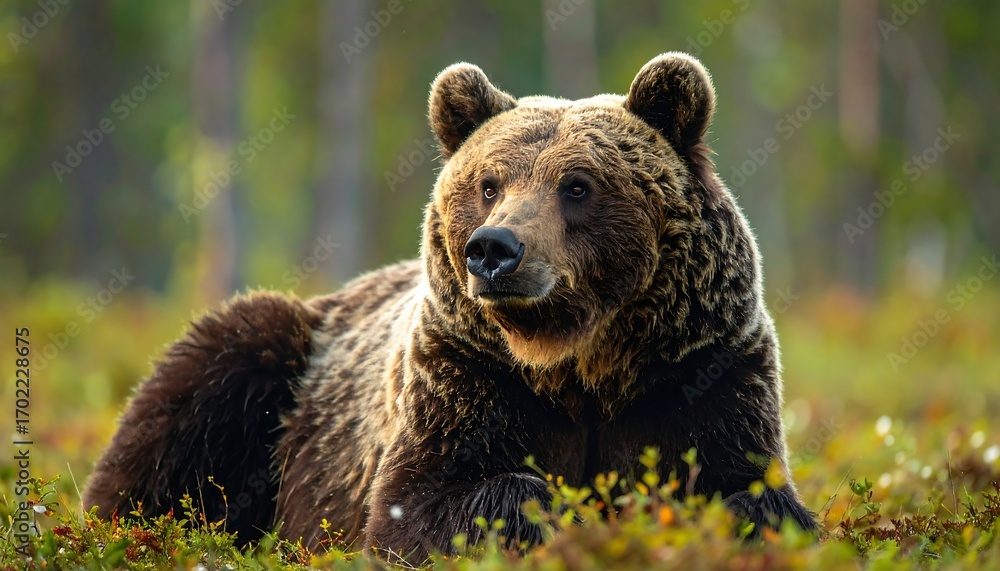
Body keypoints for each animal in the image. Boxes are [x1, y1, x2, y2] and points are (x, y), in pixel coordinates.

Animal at [84, 52, 817, 560]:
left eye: (577, 184)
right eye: (489, 183)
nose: (494, 249)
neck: (577, 362)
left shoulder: (699, 368)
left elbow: (747, 489)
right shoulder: (465, 372)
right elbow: (420, 508)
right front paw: (555, 512)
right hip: (277, 363)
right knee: (194, 397)